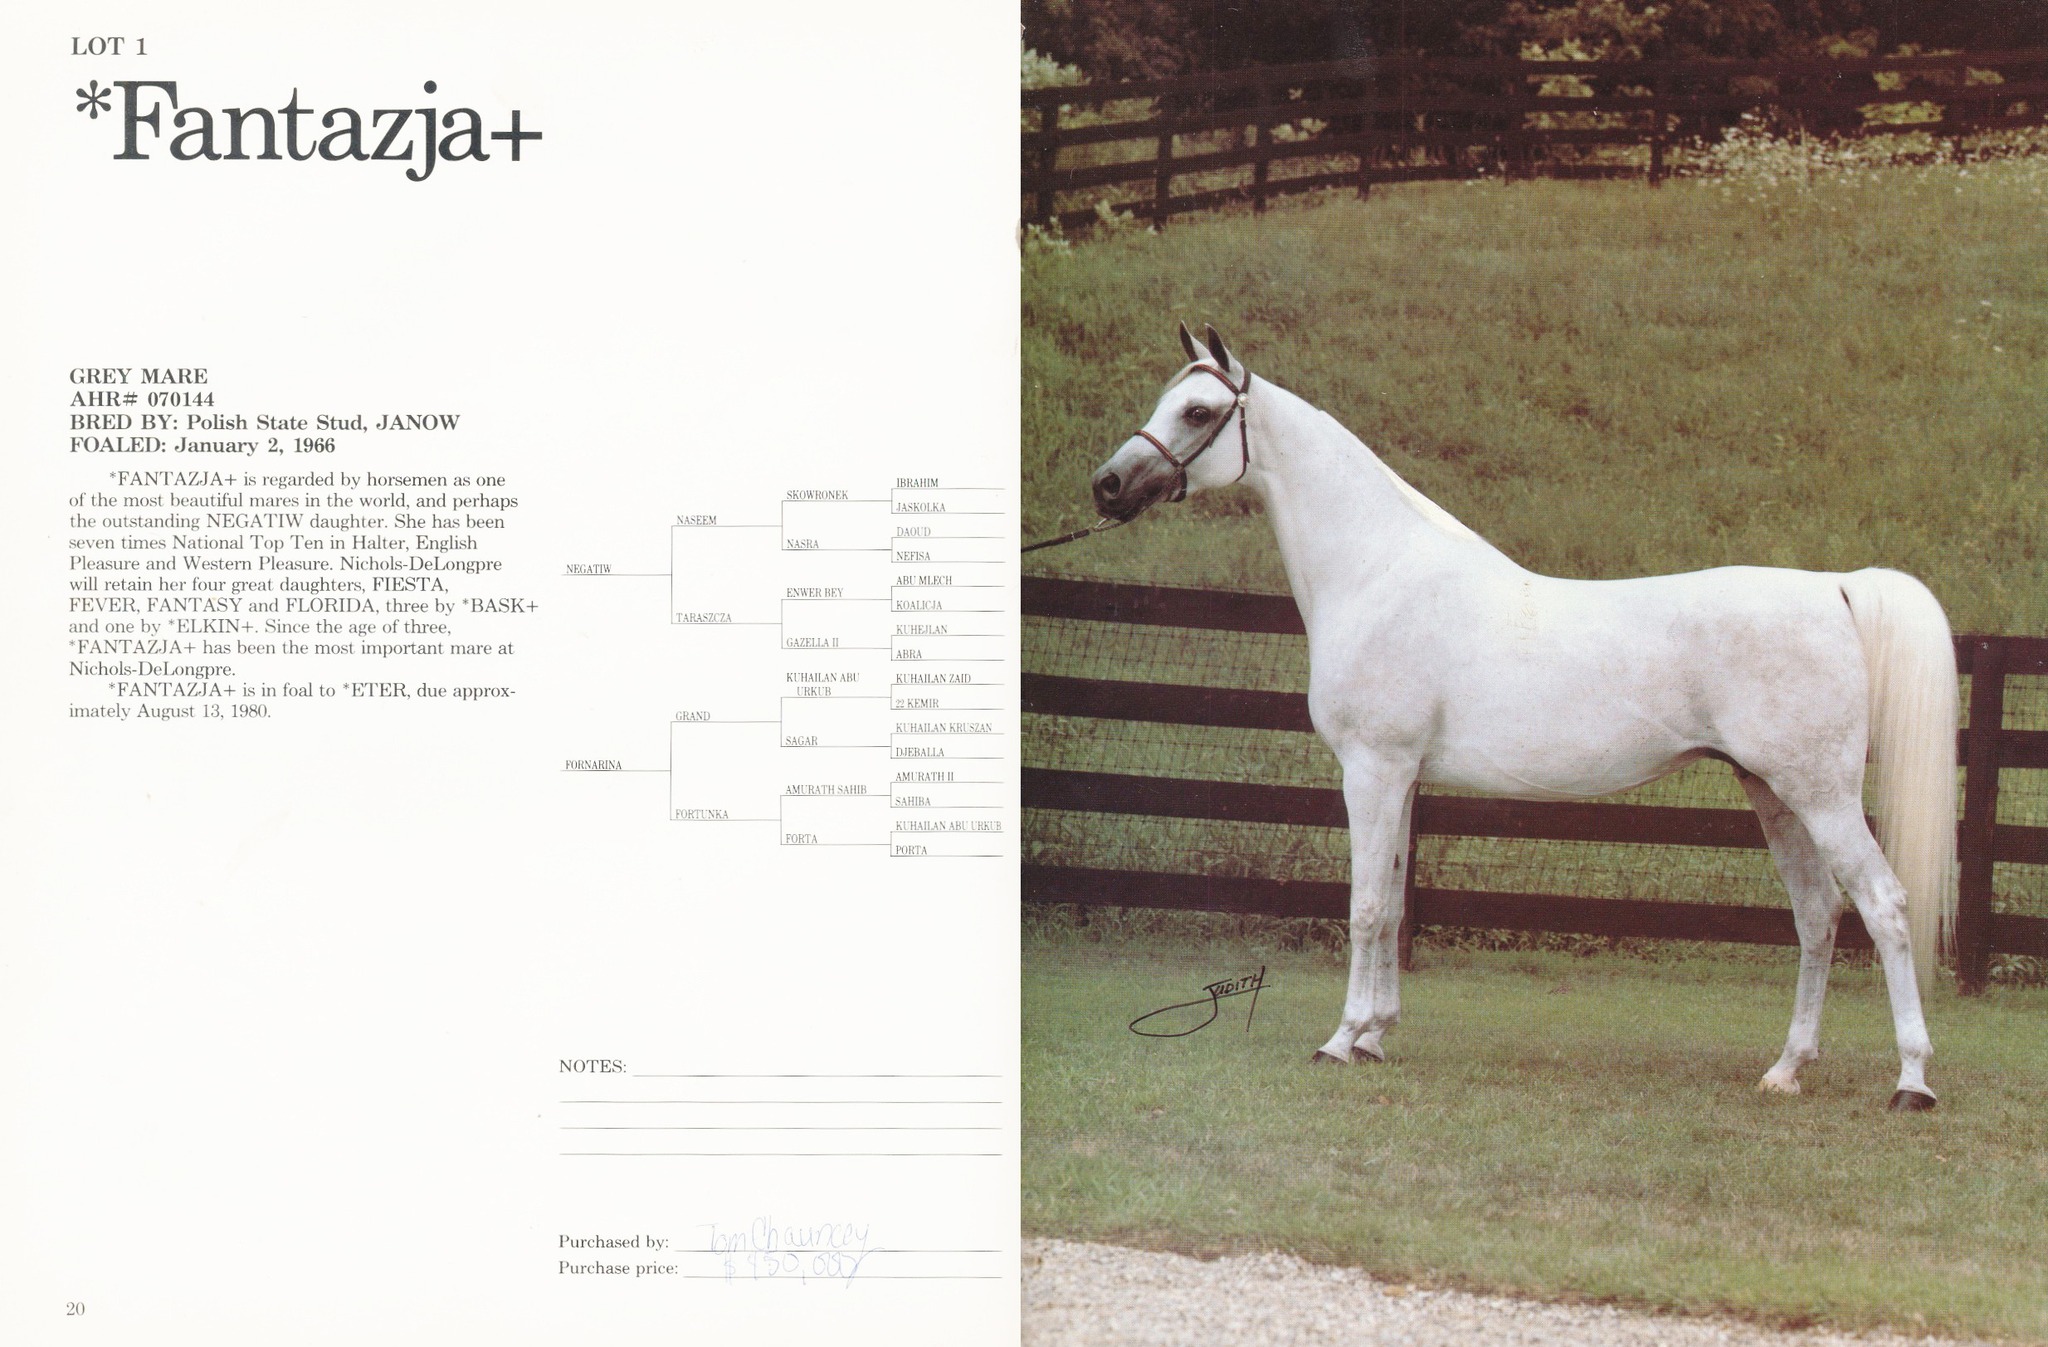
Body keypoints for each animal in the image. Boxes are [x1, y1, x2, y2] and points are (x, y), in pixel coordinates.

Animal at [1087, 323, 1958, 1111]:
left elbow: (1364, 907)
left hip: (1821, 794)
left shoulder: (1372, 768)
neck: (1379, 571)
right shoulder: (1404, 779)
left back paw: (1912, 1080)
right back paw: (1786, 1069)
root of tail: (1833, 587)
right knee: (1818, 915)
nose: (1107, 485)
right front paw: (1376, 1035)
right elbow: (1393, 904)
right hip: (1773, 792)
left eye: (1198, 410)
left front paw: (1340, 1039)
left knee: (1884, 906)